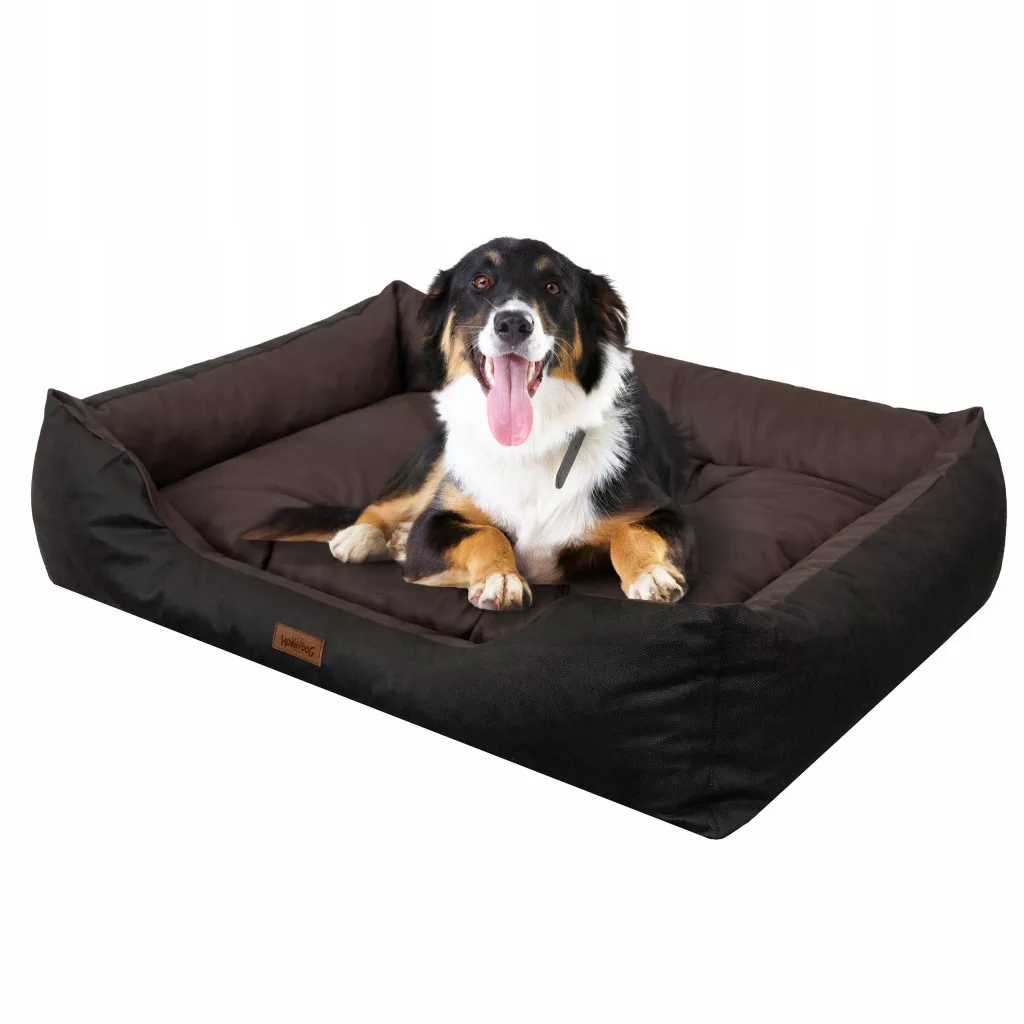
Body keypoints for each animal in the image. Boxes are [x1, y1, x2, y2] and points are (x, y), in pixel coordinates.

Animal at [245, 237, 694, 611]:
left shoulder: (667, 512)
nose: (513, 323)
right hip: (435, 459)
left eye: (553, 287)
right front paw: (500, 578)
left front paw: (650, 574)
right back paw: (362, 535)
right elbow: (484, 533)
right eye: (480, 281)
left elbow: (629, 532)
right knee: (384, 503)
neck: (530, 444)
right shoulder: (433, 527)